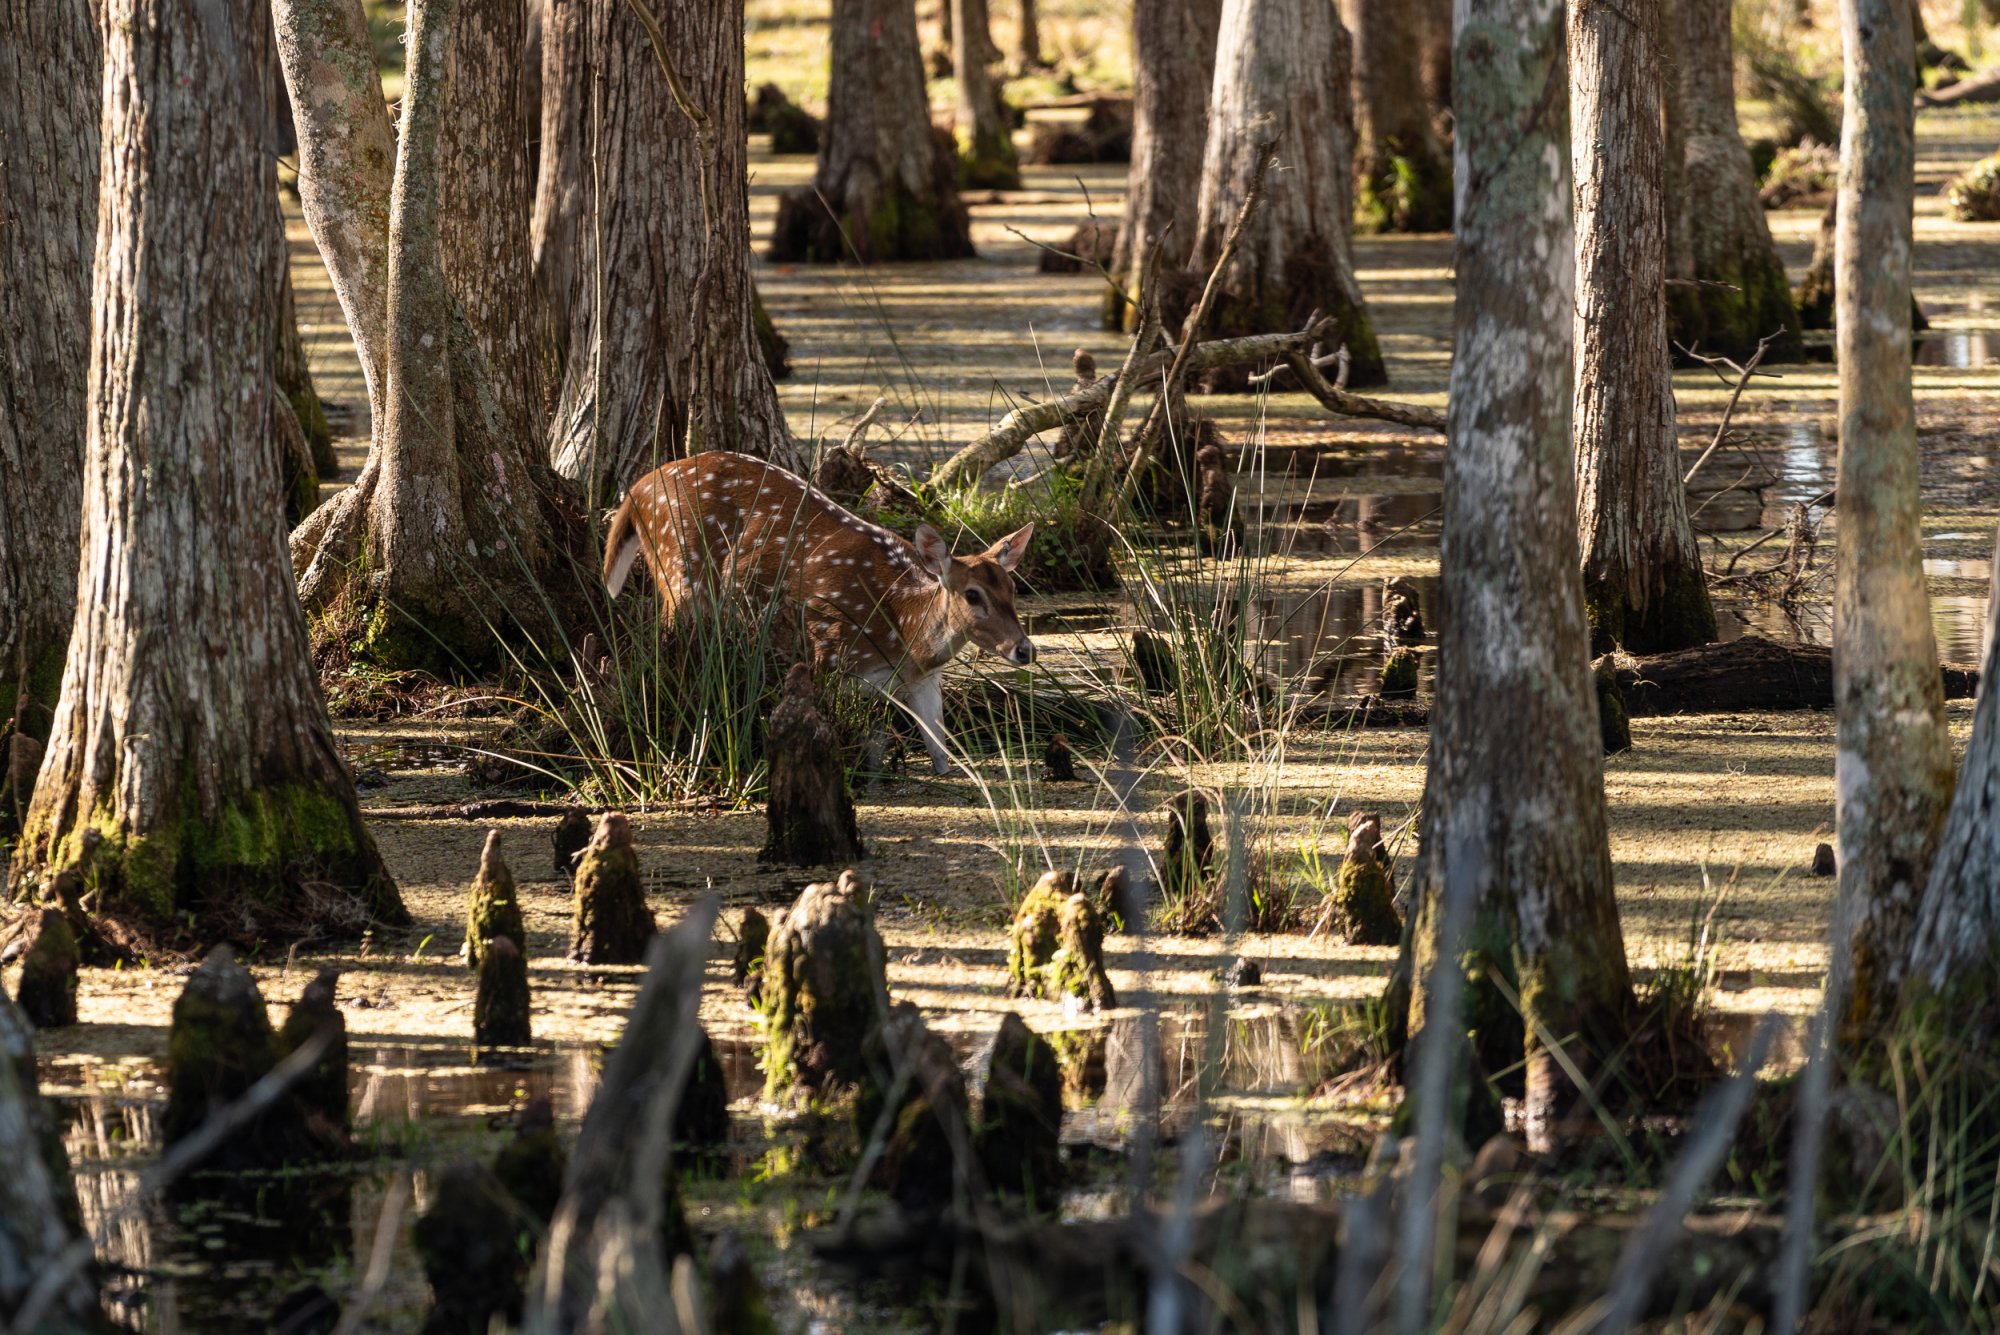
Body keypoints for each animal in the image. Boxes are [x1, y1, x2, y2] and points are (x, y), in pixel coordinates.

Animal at [600, 453, 1040, 775]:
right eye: (972, 595)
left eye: (1013, 588)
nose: (1024, 649)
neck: (902, 630)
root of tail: (636, 490)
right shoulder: (825, 642)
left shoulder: (924, 680)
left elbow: (939, 751)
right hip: (679, 571)